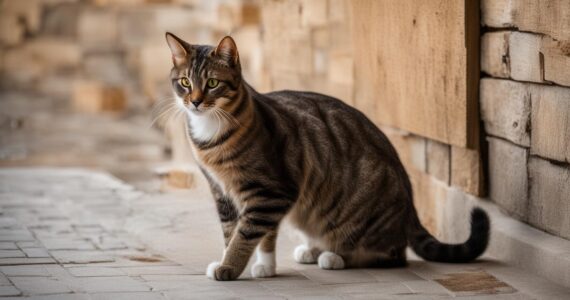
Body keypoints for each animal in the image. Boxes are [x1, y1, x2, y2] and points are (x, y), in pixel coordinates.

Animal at [163, 32, 488, 282]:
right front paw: (262, 265)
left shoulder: (271, 191)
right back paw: (313, 249)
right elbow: (239, 232)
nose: (195, 102)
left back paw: (336, 257)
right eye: (185, 82)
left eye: (213, 83)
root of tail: (410, 206)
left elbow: (246, 234)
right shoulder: (225, 192)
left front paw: (230, 266)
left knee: (393, 255)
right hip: (309, 213)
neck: (212, 132)